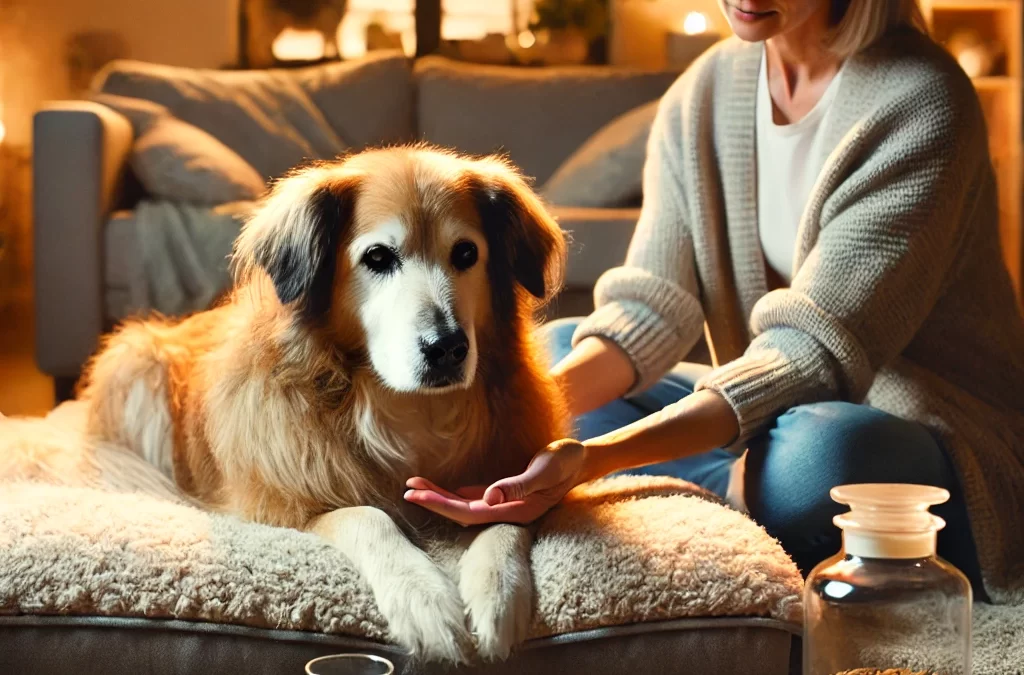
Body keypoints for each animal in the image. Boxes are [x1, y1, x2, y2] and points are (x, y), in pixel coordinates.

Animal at [77, 146, 577, 663]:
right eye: (378, 257)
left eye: (466, 254)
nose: (447, 349)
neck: (402, 404)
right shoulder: (281, 506)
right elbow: (369, 517)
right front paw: (423, 599)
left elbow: (507, 513)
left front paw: (498, 593)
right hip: (137, 363)